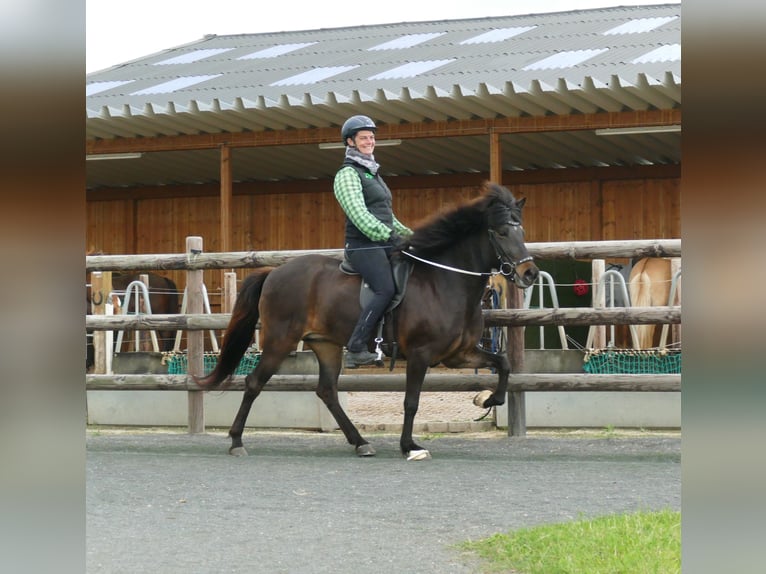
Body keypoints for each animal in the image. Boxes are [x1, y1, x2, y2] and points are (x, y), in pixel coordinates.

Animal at [201, 184, 544, 464]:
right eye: (502, 232)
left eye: (522, 231)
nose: (529, 273)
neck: (444, 281)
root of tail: (273, 272)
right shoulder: (420, 354)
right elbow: (411, 401)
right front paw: (409, 446)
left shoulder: (458, 355)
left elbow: (503, 364)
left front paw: (488, 399)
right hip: (280, 341)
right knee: (254, 383)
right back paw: (236, 441)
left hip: (325, 345)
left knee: (327, 391)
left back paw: (360, 442)